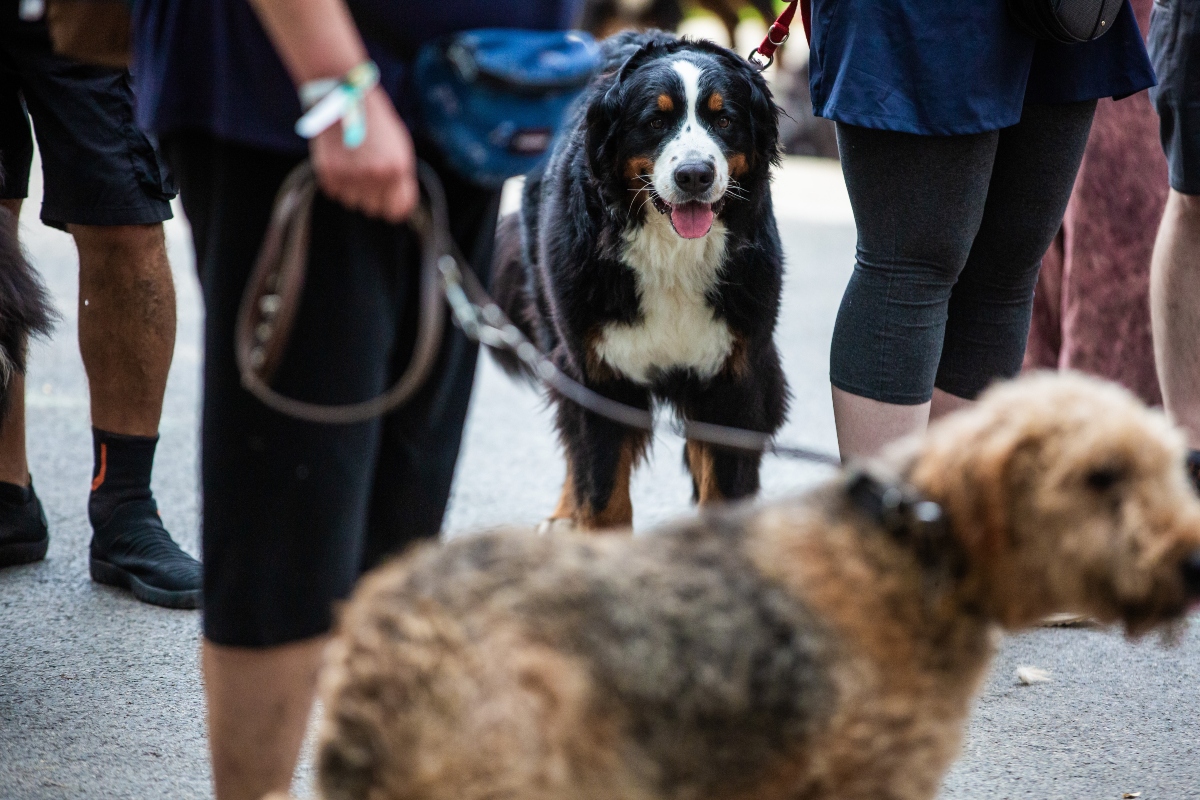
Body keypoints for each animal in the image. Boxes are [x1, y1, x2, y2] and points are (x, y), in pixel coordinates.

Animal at [307, 376, 1200, 800]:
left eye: (1167, 464)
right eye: (1100, 474)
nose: (1192, 561)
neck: (903, 549)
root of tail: (385, 616)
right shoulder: (874, 775)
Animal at [494, 31, 787, 532]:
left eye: (724, 119)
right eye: (655, 121)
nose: (695, 175)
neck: (672, 254)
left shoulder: (736, 375)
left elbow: (722, 487)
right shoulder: (598, 372)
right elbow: (602, 490)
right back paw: (562, 516)